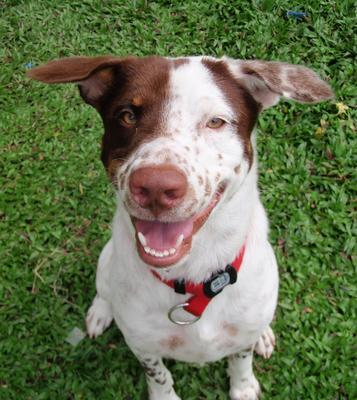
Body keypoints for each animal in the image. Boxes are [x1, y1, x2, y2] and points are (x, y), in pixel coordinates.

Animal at [29, 54, 332, 398]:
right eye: (127, 115)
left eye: (216, 122)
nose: (156, 187)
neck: (193, 278)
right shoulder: (142, 343)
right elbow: (158, 374)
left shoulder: (242, 330)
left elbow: (241, 359)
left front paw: (243, 387)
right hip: (106, 263)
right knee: (104, 290)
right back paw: (101, 311)